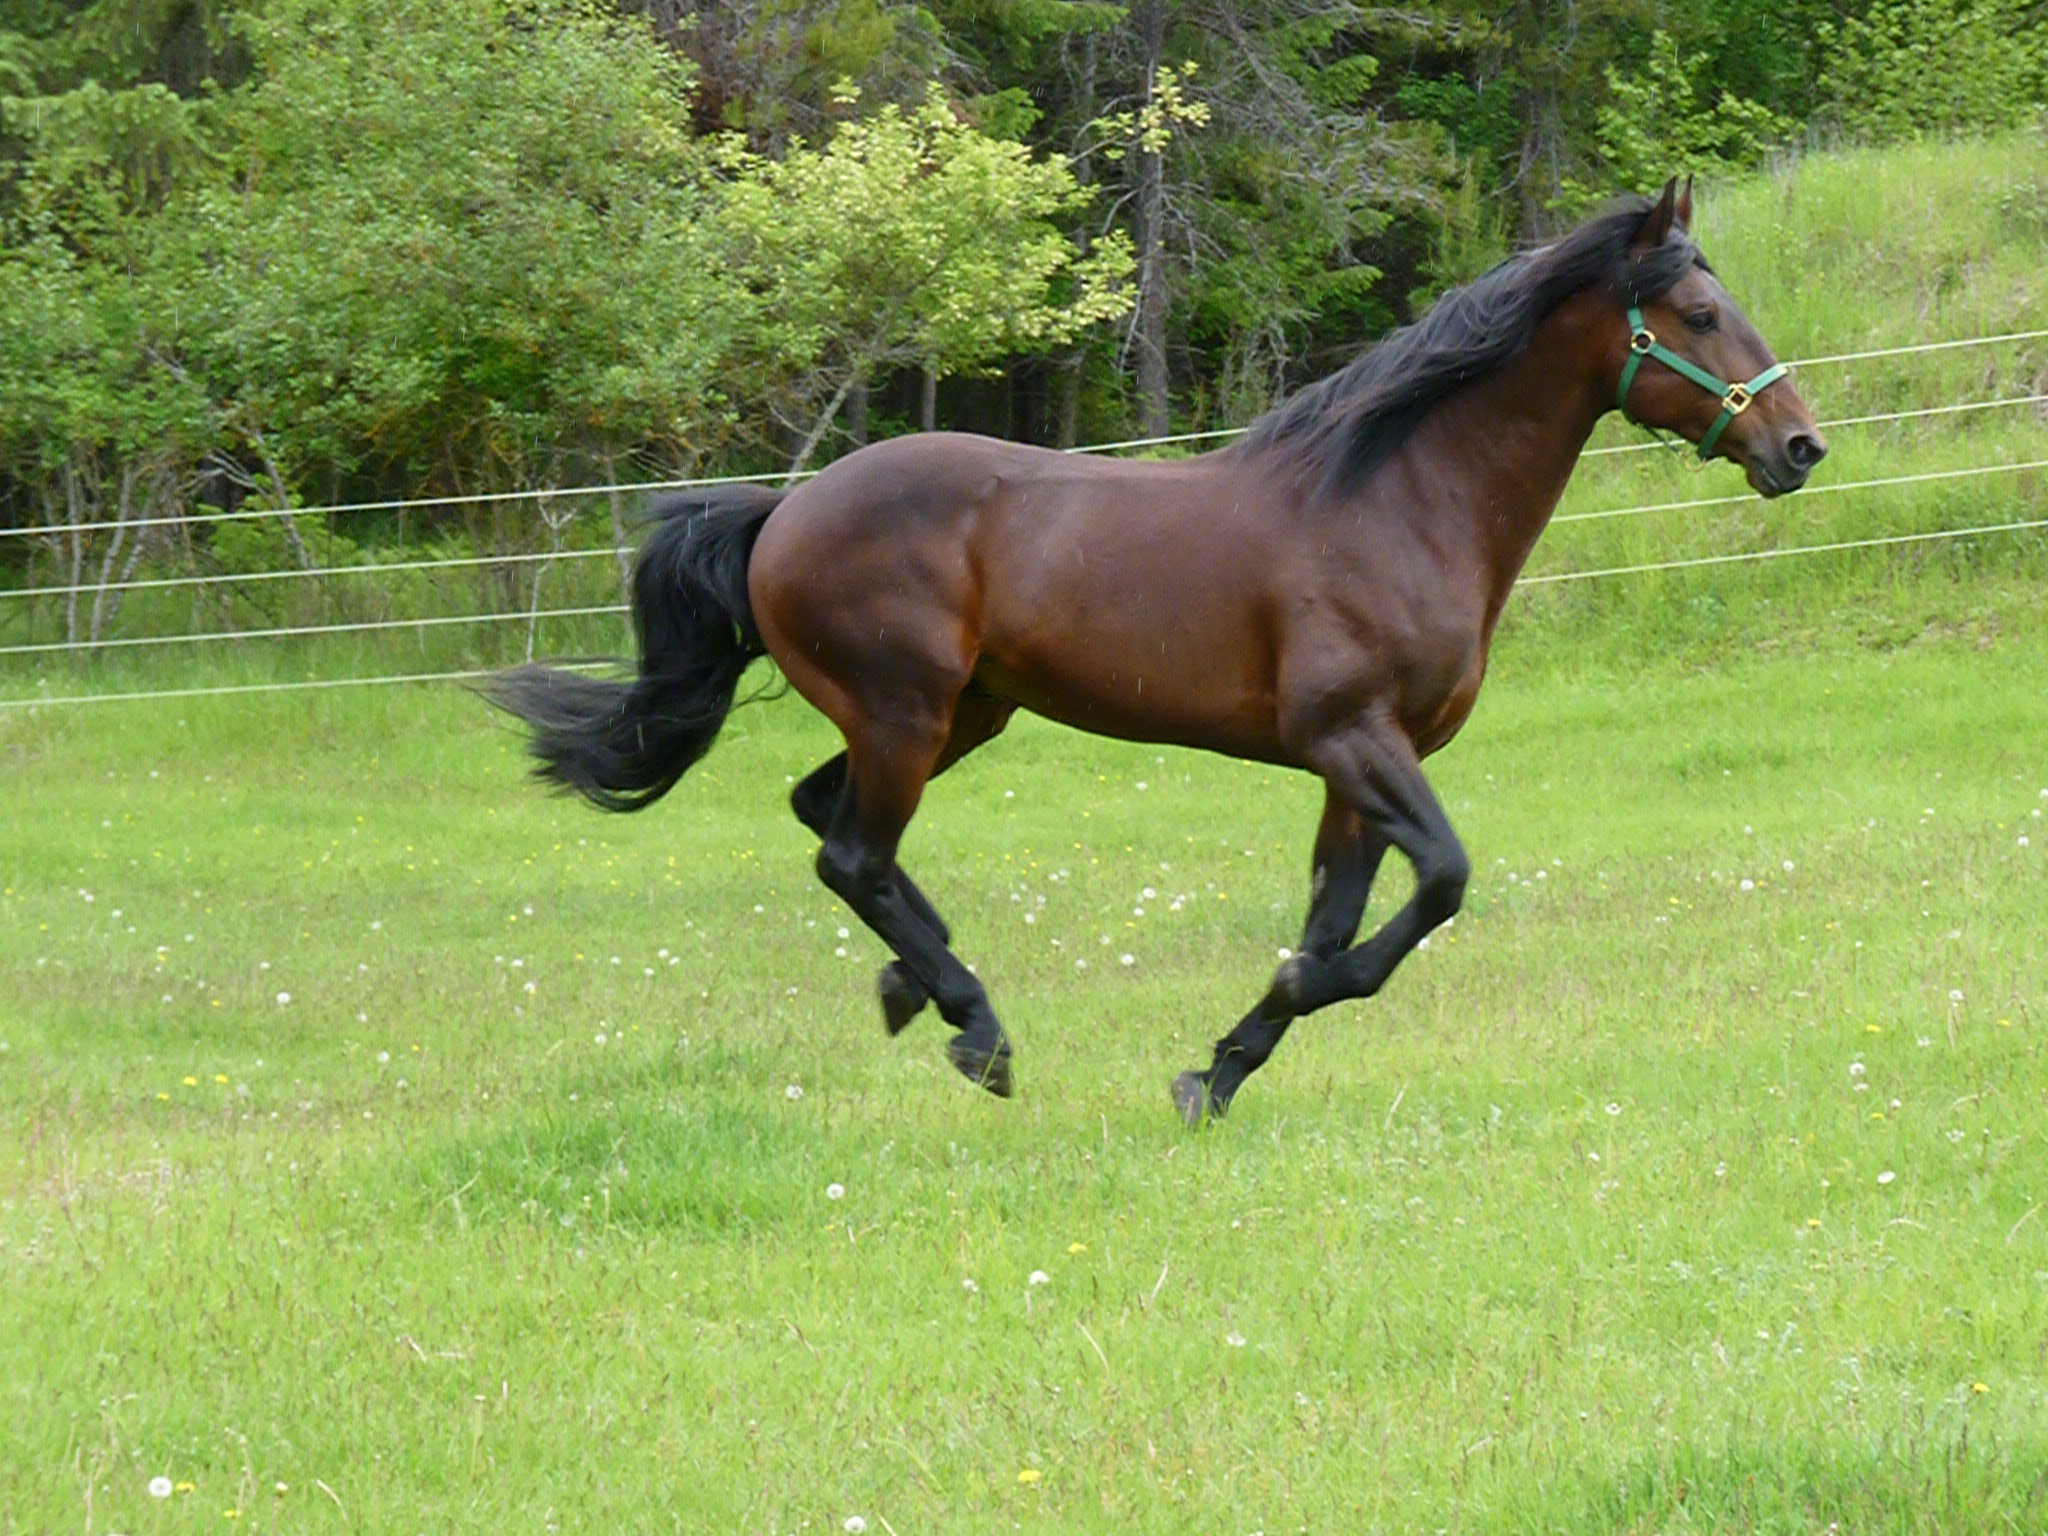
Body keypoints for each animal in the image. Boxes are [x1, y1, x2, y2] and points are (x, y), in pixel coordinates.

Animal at [478, 177, 1826, 1124]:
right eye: (1698, 312)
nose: (1799, 446)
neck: (1394, 500)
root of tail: (784, 510)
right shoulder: (1355, 739)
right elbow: (1433, 887)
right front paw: (1251, 1030)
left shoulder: (1351, 767)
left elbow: (1335, 924)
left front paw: (1218, 1070)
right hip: (906, 714)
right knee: (849, 852)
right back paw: (977, 1029)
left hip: (958, 715)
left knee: (829, 821)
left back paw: (917, 989)